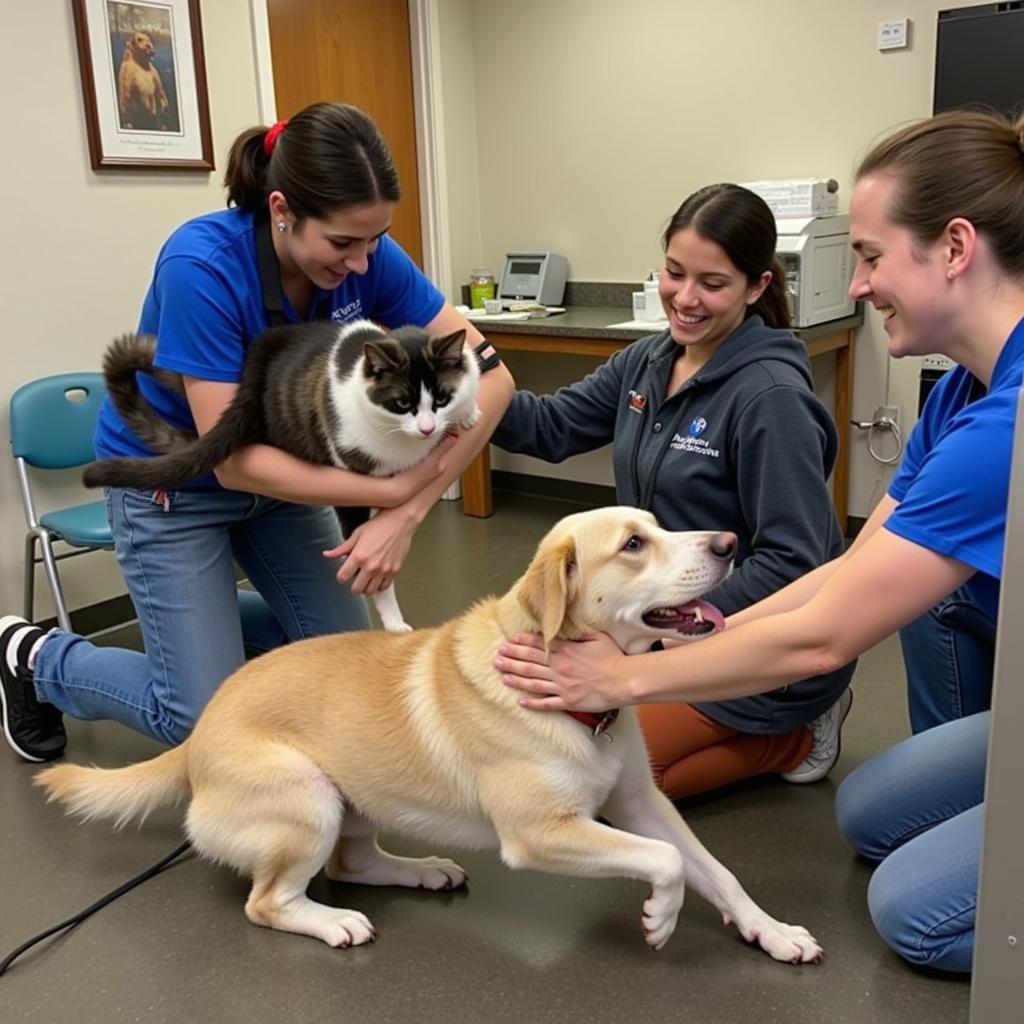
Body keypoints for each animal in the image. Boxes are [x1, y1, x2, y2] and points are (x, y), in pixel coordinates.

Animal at [36, 507, 823, 962]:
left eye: (659, 527)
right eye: (634, 544)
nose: (729, 541)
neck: (576, 704)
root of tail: (196, 738)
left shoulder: (640, 804)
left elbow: (713, 869)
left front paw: (772, 931)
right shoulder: (541, 833)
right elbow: (663, 863)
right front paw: (662, 915)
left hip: (349, 802)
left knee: (354, 861)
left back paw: (423, 870)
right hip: (307, 796)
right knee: (269, 903)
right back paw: (333, 923)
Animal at [79, 317, 479, 630]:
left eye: (441, 398)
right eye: (402, 403)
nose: (427, 429)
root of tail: (253, 367)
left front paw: (469, 414)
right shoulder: (357, 477)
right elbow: (374, 564)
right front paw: (392, 619)